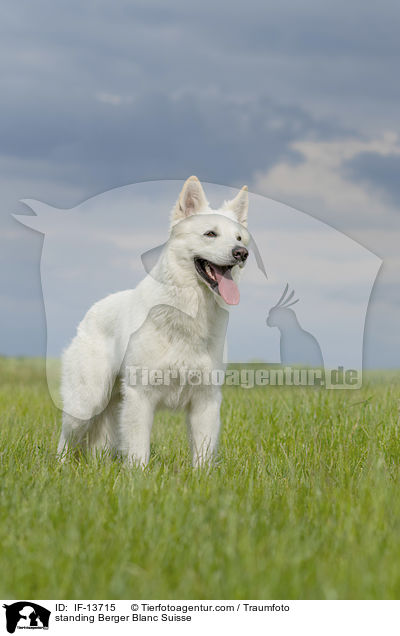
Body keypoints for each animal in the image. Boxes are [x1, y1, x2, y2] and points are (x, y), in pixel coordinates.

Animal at [57, 176, 248, 464]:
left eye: (238, 237)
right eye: (210, 234)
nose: (242, 252)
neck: (189, 313)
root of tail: (92, 311)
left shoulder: (206, 400)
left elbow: (203, 454)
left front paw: (201, 475)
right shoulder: (140, 396)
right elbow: (138, 452)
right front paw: (138, 475)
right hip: (87, 403)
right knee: (64, 438)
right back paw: (59, 466)